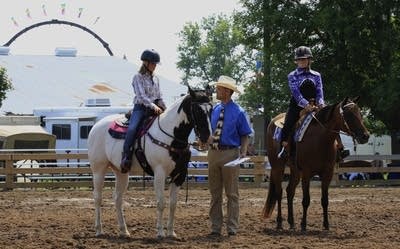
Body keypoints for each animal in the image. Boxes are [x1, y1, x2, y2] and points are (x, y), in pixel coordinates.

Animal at [88, 88, 212, 238]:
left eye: (211, 109)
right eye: (198, 110)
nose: (207, 137)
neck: (171, 136)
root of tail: (95, 126)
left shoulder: (180, 175)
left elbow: (173, 204)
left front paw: (171, 232)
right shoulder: (159, 173)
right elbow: (161, 203)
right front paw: (160, 232)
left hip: (121, 172)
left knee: (118, 199)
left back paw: (124, 230)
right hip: (98, 169)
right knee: (97, 198)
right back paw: (99, 230)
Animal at [262, 97, 368, 231]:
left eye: (360, 113)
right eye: (349, 114)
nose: (365, 136)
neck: (320, 140)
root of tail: (272, 121)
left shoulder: (327, 174)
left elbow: (325, 200)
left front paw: (326, 225)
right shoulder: (307, 174)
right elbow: (306, 200)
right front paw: (303, 225)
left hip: (295, 171)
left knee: (289, 191)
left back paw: (291, 222)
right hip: (277, 167)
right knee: (279, 192)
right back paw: (280, 223)